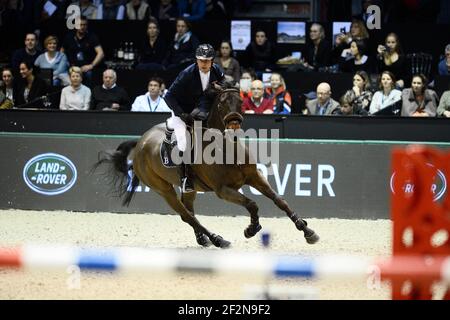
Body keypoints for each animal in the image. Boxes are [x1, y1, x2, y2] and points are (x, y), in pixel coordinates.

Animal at [96, 87, 320, 248]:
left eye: (240, 101)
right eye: (221, 103)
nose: (234, 125)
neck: (226, 148)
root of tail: (140, 142)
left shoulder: (254, 176)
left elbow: (279, 200)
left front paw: (306, 230)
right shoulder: (223, 190)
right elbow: (252, 204)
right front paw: (251, 229)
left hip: (189, 188)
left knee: (190, 211)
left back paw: (203, 239)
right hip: (163, 189)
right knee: (187, 216)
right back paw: (217, 239)